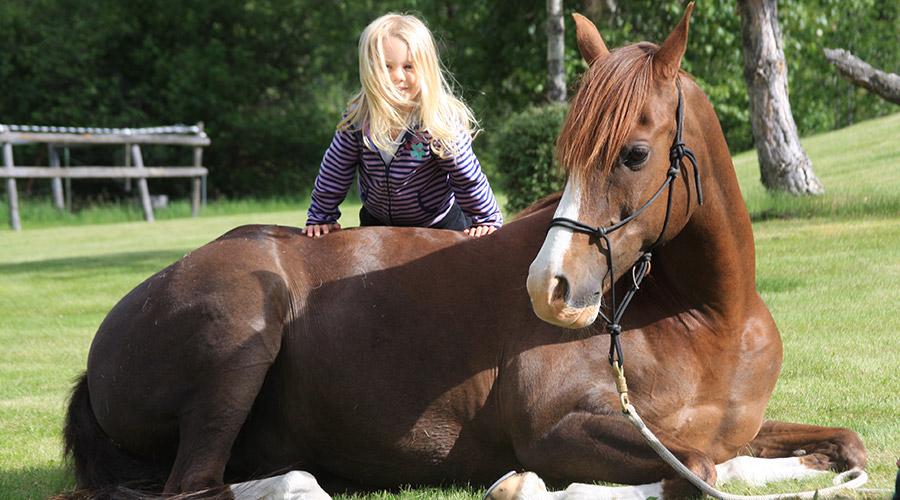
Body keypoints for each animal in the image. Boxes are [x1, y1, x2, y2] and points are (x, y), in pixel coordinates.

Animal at [63, 4, 864, 500]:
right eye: (566, 153)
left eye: (634, 154)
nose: (551, 286)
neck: (707, 319)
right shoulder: (558, 429)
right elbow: (690, 472)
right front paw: (522, 486)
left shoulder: (731, 429)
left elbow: (821, 449)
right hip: (240, 337)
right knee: (199, 486)